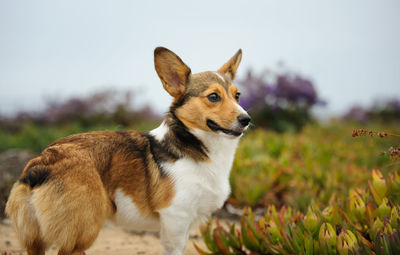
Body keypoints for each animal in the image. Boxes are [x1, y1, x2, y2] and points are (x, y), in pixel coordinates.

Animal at [5, 47, 250, 255]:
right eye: (213, 97)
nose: (246, 119)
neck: (192, 144)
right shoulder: (176, 220)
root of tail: (40, 163)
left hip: (38, 241)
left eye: (237, 96)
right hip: (83, 231)